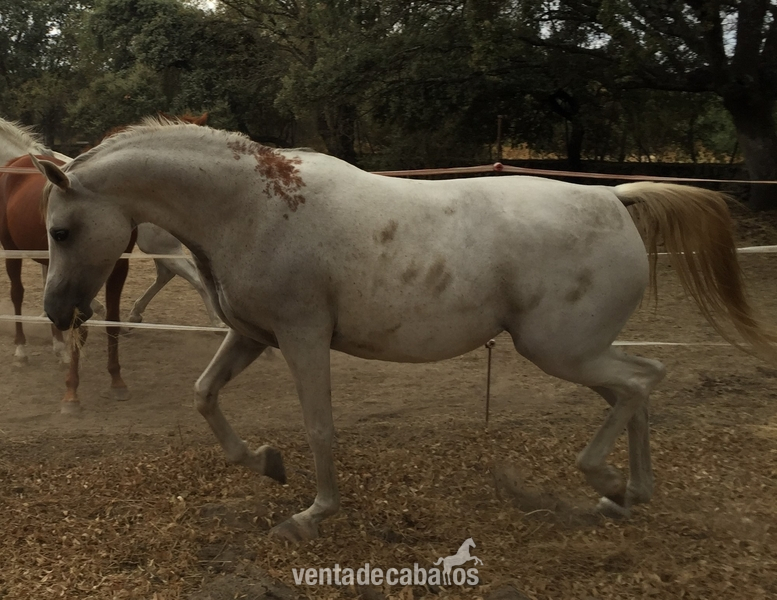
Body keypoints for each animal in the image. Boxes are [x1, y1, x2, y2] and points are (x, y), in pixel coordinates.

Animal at [32, 119, 777, 541]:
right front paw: (267, 464)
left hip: (560, 350)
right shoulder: (251, 336)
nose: (57, 313)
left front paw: (312, 512)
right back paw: (625, 496)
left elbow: (320, 426)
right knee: (640, 384)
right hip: (576, 350)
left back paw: (606, 483)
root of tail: (615, 198)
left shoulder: (302, 337)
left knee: (639, 384)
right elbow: (204, 395)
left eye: (60, 230)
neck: (251, 208)